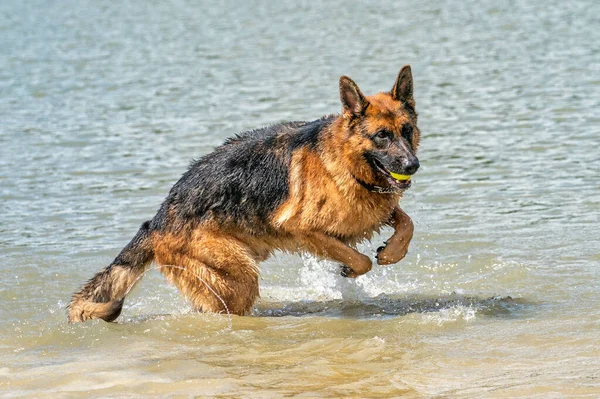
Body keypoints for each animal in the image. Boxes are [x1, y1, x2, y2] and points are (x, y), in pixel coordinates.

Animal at [68, 65, 420, 322]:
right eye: (381, 136)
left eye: (406, 131)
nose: (412, 165)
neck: (345, 163)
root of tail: (156, 221)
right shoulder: (304, 230)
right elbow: (360, 259)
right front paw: (352, 267)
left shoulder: (376, 207)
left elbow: (407, 223)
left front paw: (392, 252)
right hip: (238, 277)